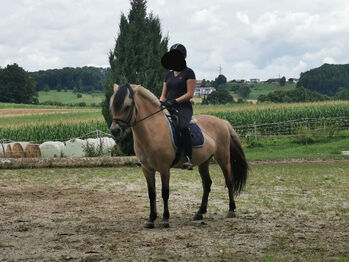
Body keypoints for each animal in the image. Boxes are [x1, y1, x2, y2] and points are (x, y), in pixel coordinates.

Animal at [109, 83, 247, 228]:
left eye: (127, 106)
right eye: (112, 106)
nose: (114, 130)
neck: (152, 131)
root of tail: (222, 121)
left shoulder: (164, 168)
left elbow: (165, 193)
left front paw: (165, 219)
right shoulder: (147, 169)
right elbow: (151, 193)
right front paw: (151, 219)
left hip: (223, 158)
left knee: (229, 181)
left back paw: (231, 210)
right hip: (204, 161)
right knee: (207, 184)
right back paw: (199, 213)